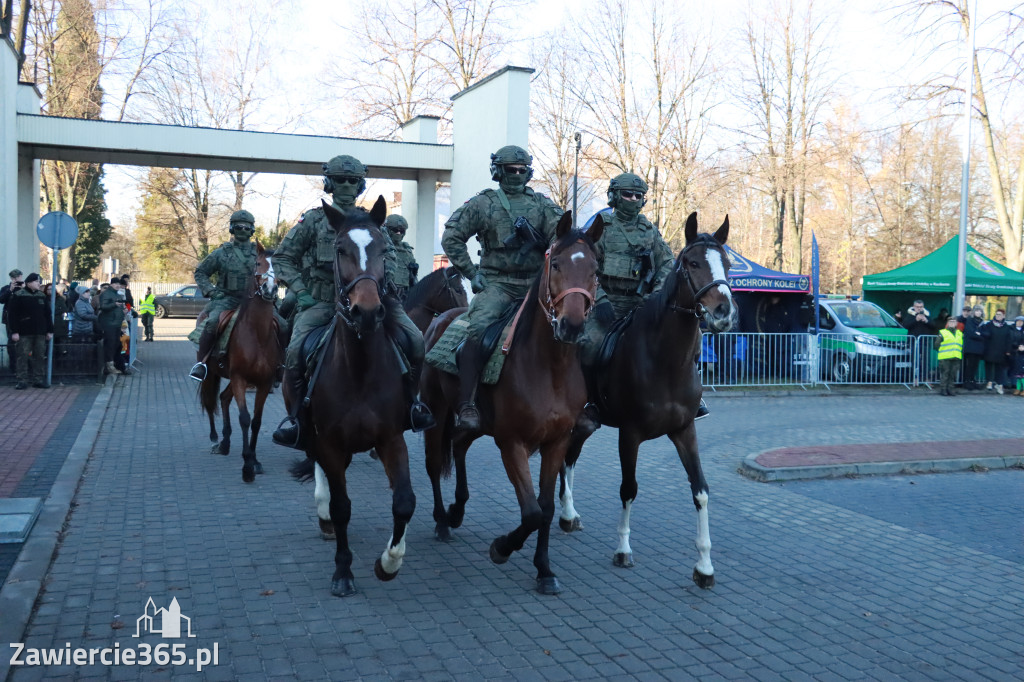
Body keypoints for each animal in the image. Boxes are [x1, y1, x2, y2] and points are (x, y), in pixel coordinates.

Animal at [198, 241, 282, 481]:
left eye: (279, 266)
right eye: (258, 263)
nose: (270, 289)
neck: (257, 334)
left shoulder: (263, 383)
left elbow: (256, 421)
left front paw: (254, 460)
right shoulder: (239, 378)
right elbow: (244, 418)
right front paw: (247, 466)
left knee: (224, 399)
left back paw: (225, 443)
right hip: (212, 373)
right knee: (210, 401)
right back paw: (216, 438)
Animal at [286, 193, 413, 593]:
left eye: (384, 249)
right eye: (340, 249)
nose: (367, 312)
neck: (360, 370)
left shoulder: (391, 438)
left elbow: (404, 502)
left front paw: (389, 562)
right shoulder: (329, 440)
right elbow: (342, 507)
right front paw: (343, 571)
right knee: (323, 475)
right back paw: (324, 514)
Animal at [421, 209, 602, 593]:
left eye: (594, 269)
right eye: (556, 263)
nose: (571, 326)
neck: (549, 368)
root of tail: (439, 320)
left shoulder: (557, 442)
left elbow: (546, 509)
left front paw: (544, 569)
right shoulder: (512, 443)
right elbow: (531, 512)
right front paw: (502, 548)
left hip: (478, 422)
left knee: (459, 443)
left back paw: (457, 510)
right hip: (436, 411)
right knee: (434, 462)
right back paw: (443, 520)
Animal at [557, 214, 733, 589]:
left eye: (726, 264)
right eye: (692, 263)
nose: (724, 311)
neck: (665, 361)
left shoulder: (685, 431)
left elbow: (700, 490)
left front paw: (704, 565)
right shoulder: (630, 434)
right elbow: (628, 488)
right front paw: (623, 548)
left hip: (587, 422)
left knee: (570, 458)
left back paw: (568, 513)